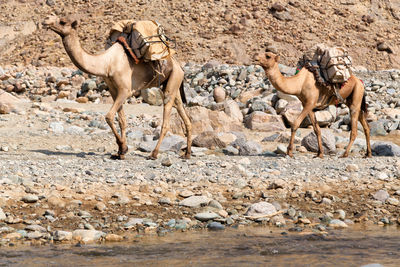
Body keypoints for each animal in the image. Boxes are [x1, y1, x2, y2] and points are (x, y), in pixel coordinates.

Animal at [43, 15, 193, 160]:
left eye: (62, 21)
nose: (46, 20)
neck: (107, 63)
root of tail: (179, 66)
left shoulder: (125, 90)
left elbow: (109, 116)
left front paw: (123, 148)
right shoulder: (114, 90)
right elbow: (122, 120)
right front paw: (120, 152)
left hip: (173, 81)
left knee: (166, 118)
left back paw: (154, 154)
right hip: (173, 83)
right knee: (182, 111)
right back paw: (187, 154)